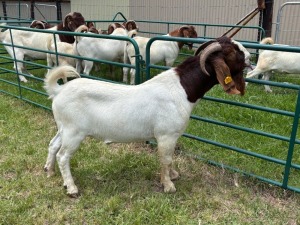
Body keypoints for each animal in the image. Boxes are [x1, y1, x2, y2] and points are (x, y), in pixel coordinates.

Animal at [44, 35, 246, 197]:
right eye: (233, 52)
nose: (250, 57)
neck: (181, 89)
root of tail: (58, 91)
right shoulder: (166, 135)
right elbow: (166, 159)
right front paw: (168, 185)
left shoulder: (171, 137)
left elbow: (169, 159)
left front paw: (173, 175)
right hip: (73, 132)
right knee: (63, 156)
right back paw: (71, 188)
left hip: (63, 128)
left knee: (53, 145)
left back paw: (49, 170)